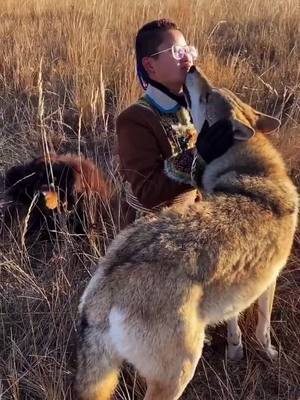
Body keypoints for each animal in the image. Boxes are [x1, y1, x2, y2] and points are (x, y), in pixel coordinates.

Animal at [74, 66, 298, 400]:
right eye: (206, 94)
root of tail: (106, 284)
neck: (254, 174)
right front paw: (268, 352)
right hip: (179, 374)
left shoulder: (236, 290)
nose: (192, 67)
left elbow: (234, 322)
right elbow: (264, 326)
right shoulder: (269, 280)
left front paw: (235, 349)